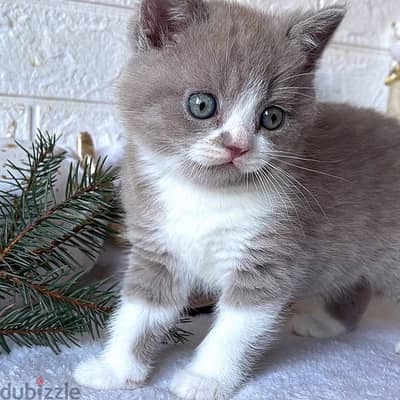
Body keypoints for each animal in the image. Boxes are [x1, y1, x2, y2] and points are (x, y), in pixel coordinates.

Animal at [73, 0, 400, 398]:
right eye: (201, 104)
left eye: (272, 117)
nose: (237, 146)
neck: (205, 196)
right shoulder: (157, 248)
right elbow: (139, 310)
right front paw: (115, 370)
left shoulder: (271, 255)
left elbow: (235, 328)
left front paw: (206, 378)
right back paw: (327, 324)